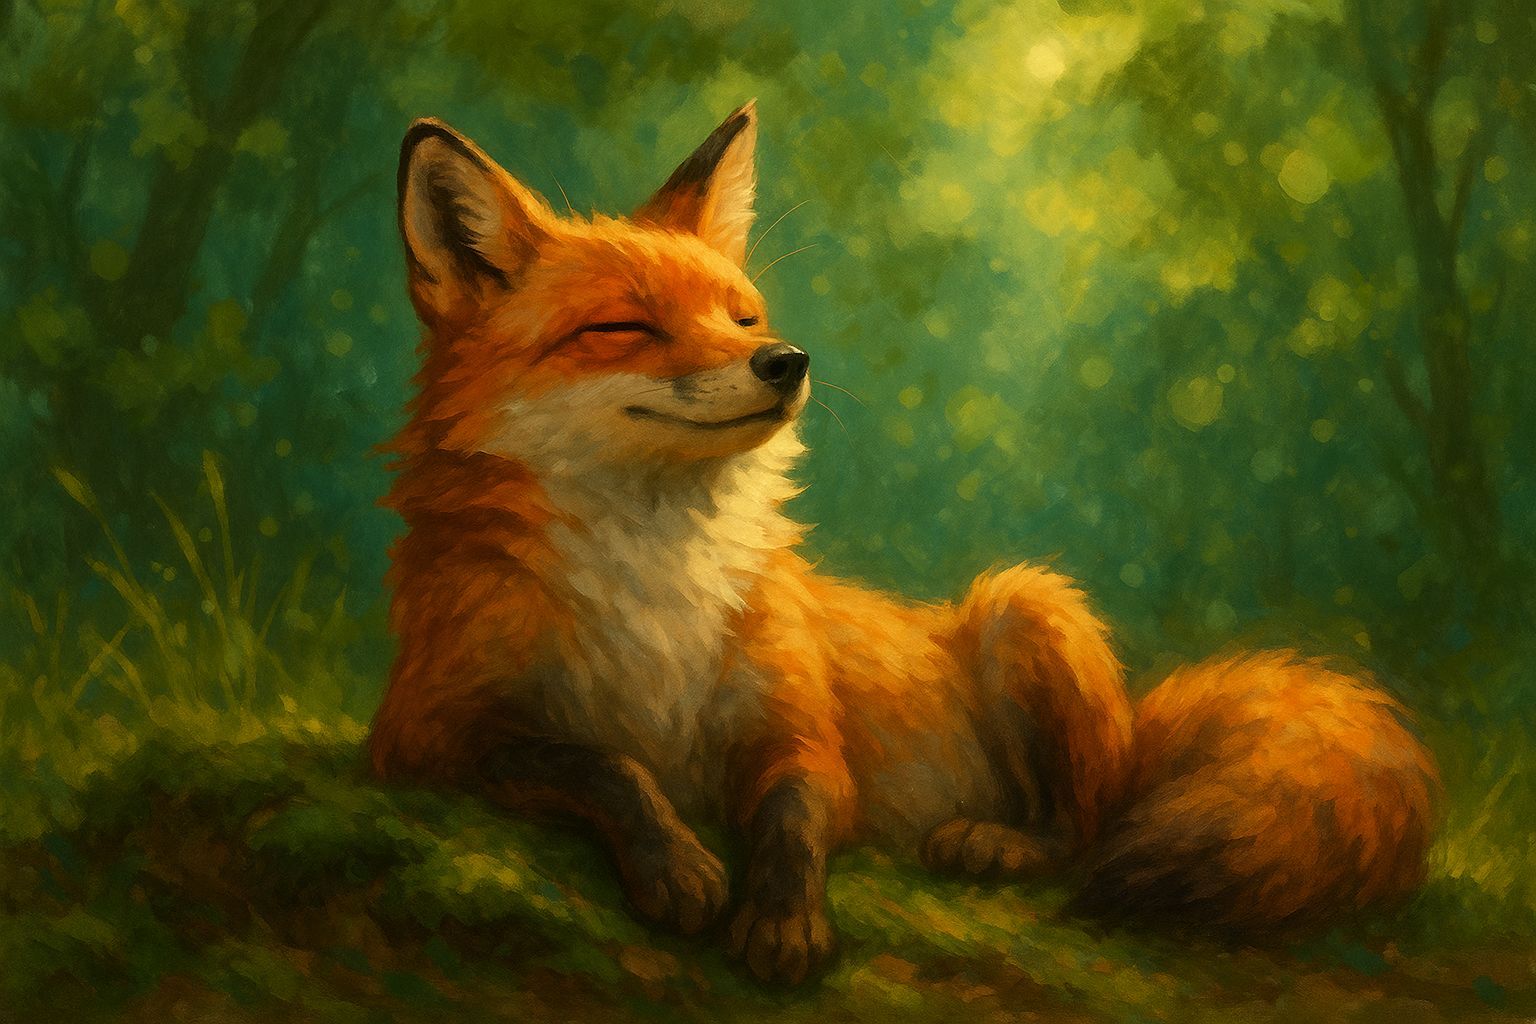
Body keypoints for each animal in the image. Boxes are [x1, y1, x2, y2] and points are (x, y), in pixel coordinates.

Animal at [368, 101, 1441, 985]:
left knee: (1092, 830)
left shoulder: (801, 735)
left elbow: (794, 820)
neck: (655, 581)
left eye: (743, 315)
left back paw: (1001, 843)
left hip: (1026, 605)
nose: (787, 360)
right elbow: (601, 766)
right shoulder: (428, 731)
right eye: (625, 326)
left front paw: (785, 922)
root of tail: (1141, 728)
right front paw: (674, 861)